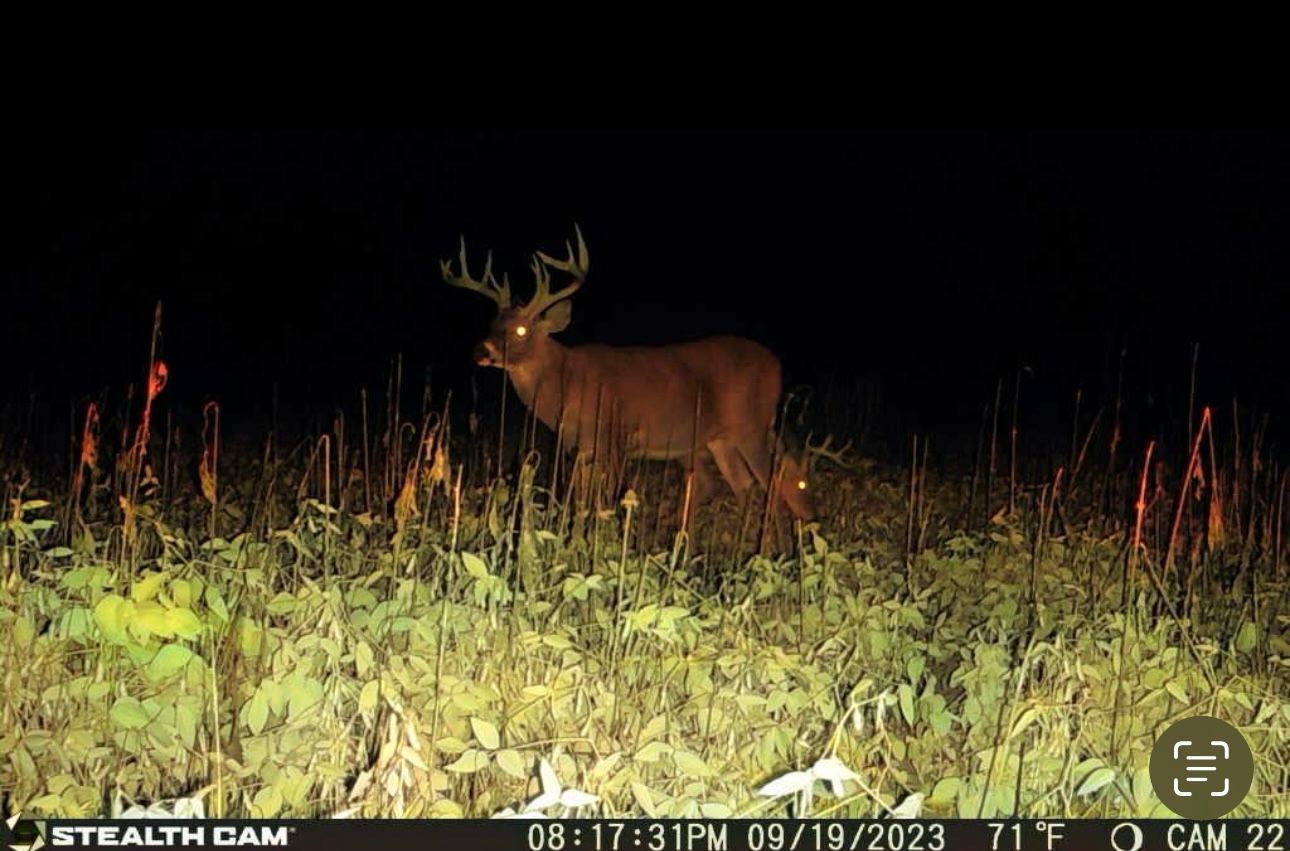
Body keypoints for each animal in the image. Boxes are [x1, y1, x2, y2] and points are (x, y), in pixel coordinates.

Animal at [441, 227, 817, 523]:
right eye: (493, 324)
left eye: (520, 330)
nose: (481, 352)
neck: (568, 381)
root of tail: (776, 364)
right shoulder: (580, 447)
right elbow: (580, 502)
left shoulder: (617, 435)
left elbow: (613, 499)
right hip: (721, 439)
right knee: (746, 486)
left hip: (751, 426)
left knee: (773, 485)